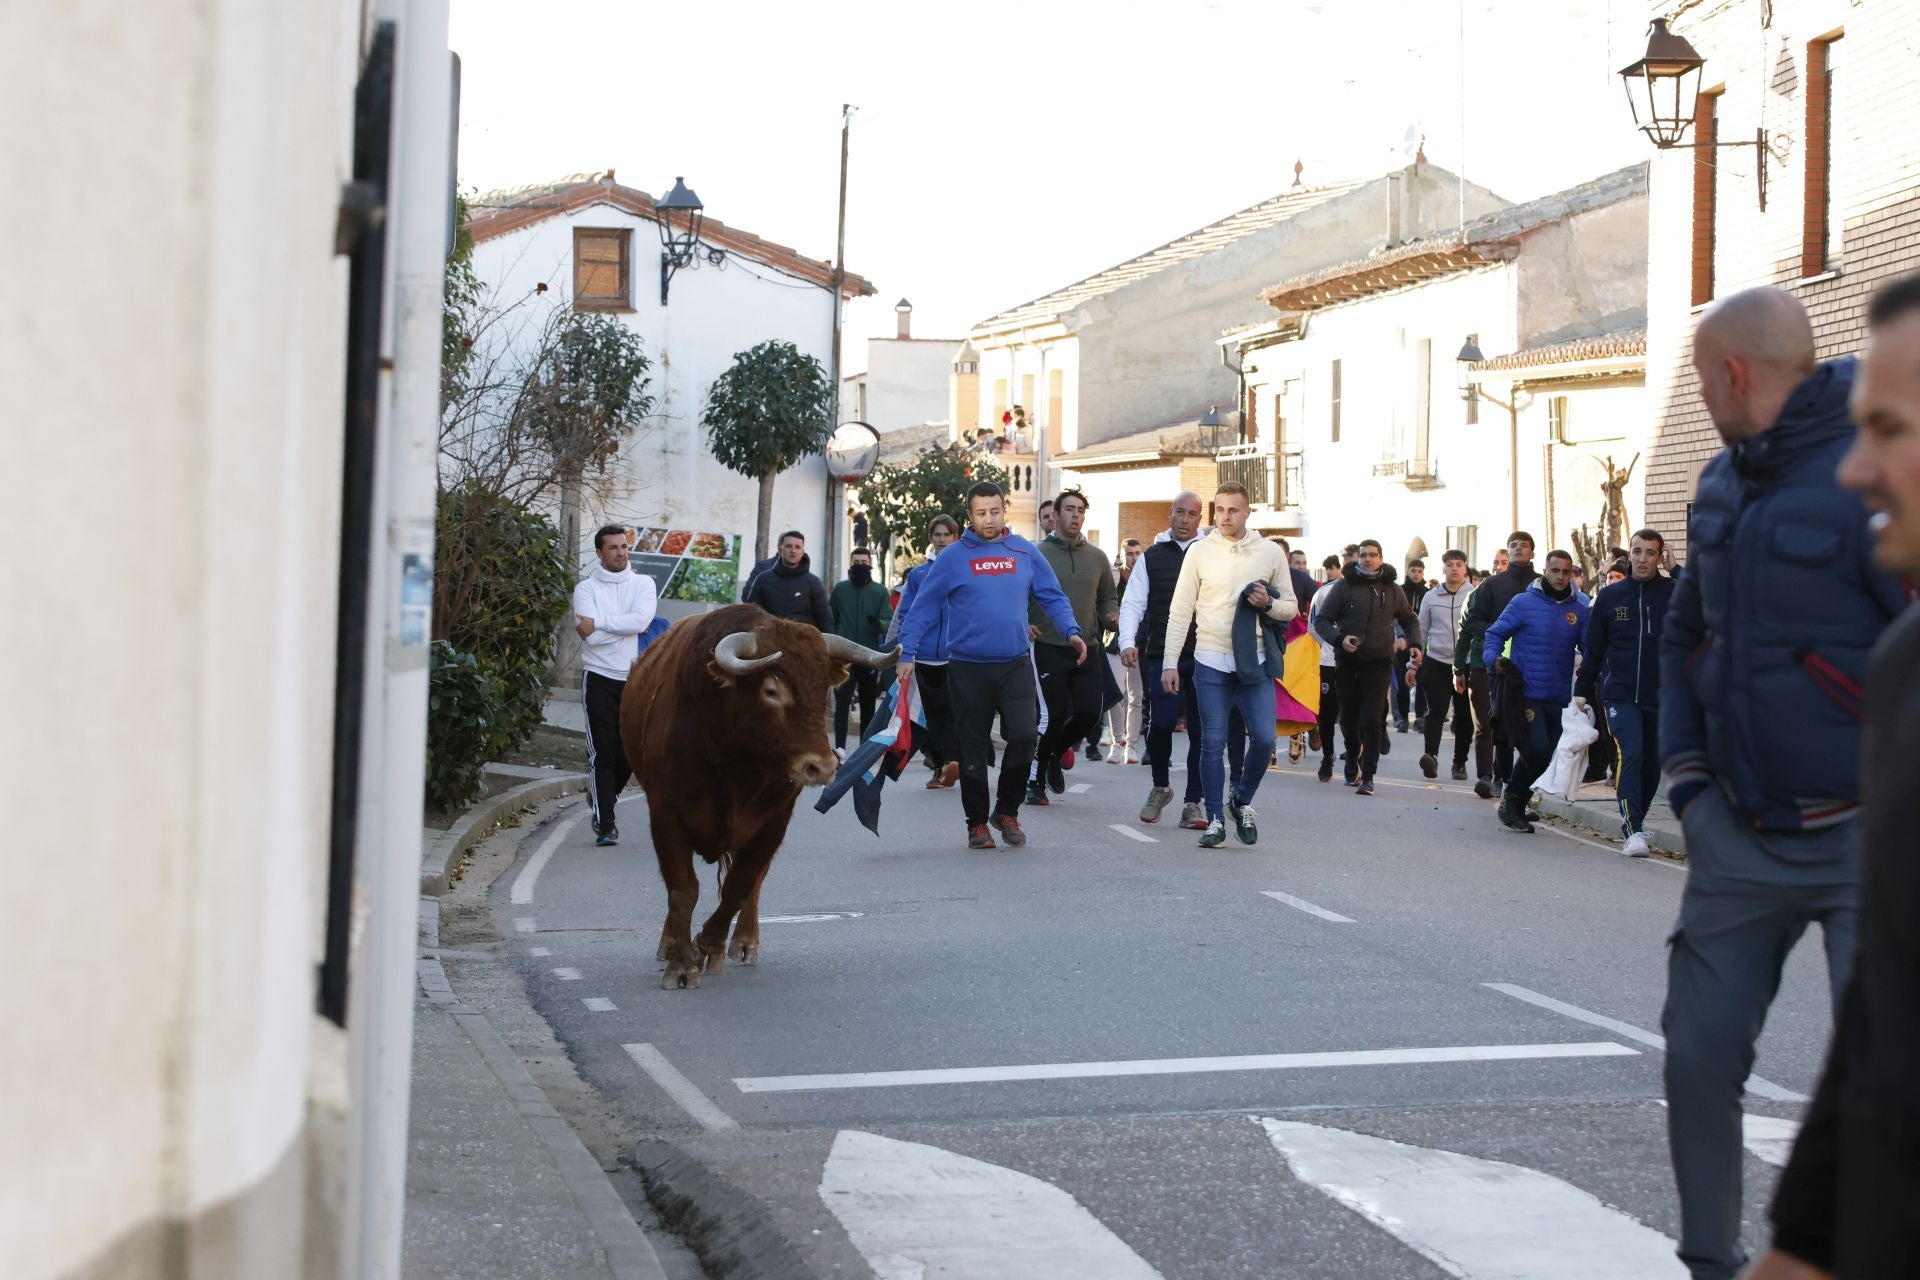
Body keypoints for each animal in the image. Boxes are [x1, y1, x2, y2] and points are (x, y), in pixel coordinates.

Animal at [618, 602, 894, 990]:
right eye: (772, 690)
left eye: (823, 686)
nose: (822, 766)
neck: (732, 762)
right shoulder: (665, 813)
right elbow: (682, 889)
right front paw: (681, 961)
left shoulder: (774, 821)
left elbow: (741, 884)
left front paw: (710, 945)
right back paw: (669, 944)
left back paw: (744, 943)